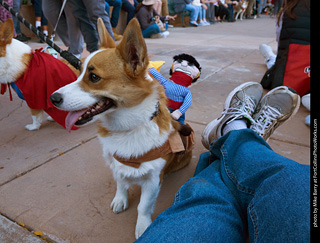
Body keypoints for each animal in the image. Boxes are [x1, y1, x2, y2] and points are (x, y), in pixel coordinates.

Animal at [50, 18, 195, 238]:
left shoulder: (153, 180)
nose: (53, 98)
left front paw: (143, 226)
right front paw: (120, 200)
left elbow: (143, 206)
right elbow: (121, 185)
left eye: (94, 77)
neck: (128, 128)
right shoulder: (115, 164)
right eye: (79, 72)